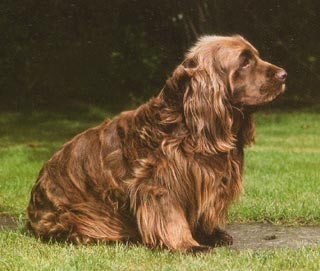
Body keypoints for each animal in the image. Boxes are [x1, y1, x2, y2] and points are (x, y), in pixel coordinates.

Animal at [27, 35, 286, 253]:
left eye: (255, 56)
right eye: (244, 62)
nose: (284, 75)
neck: (189, 126)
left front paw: (210, 235)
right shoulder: (158, 183)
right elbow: (171, 217)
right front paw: (189, 245)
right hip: (82, 215)